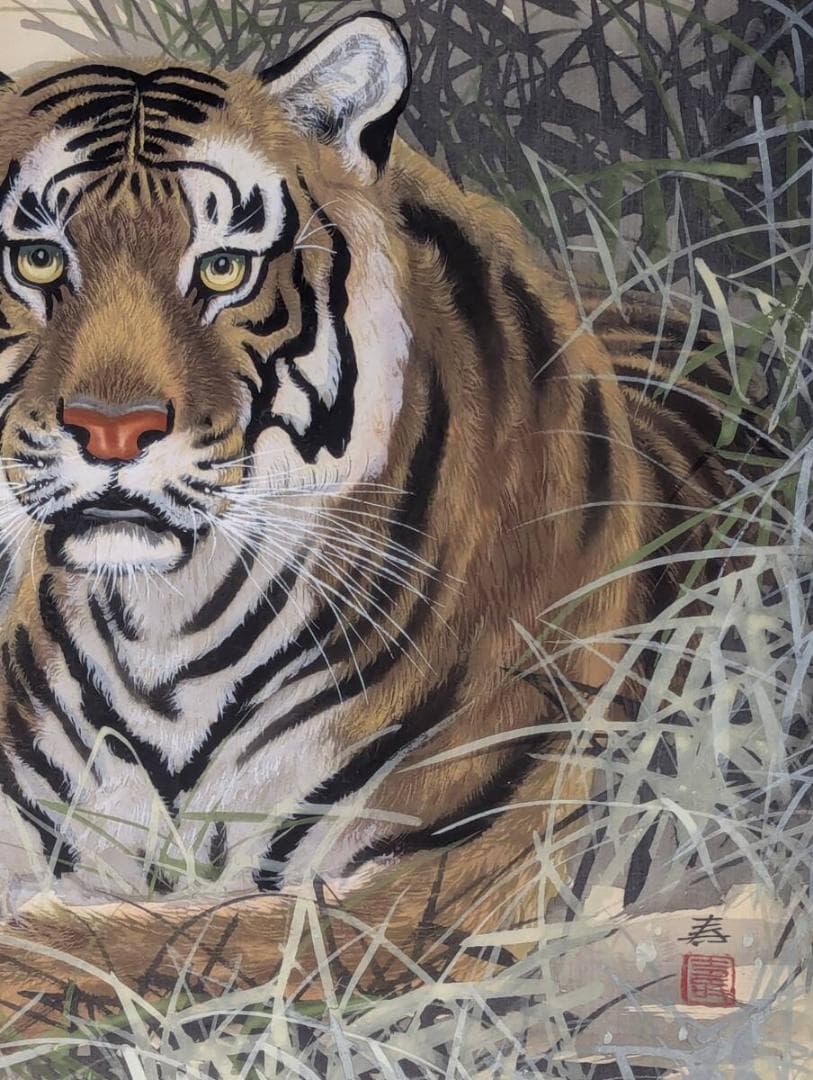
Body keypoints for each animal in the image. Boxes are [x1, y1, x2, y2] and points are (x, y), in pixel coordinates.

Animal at [0, 12, 759, 1021]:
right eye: (38, 257)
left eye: (224, 268)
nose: (111, 431)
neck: (165, 636)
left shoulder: (453, 871)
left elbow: (161, 944)